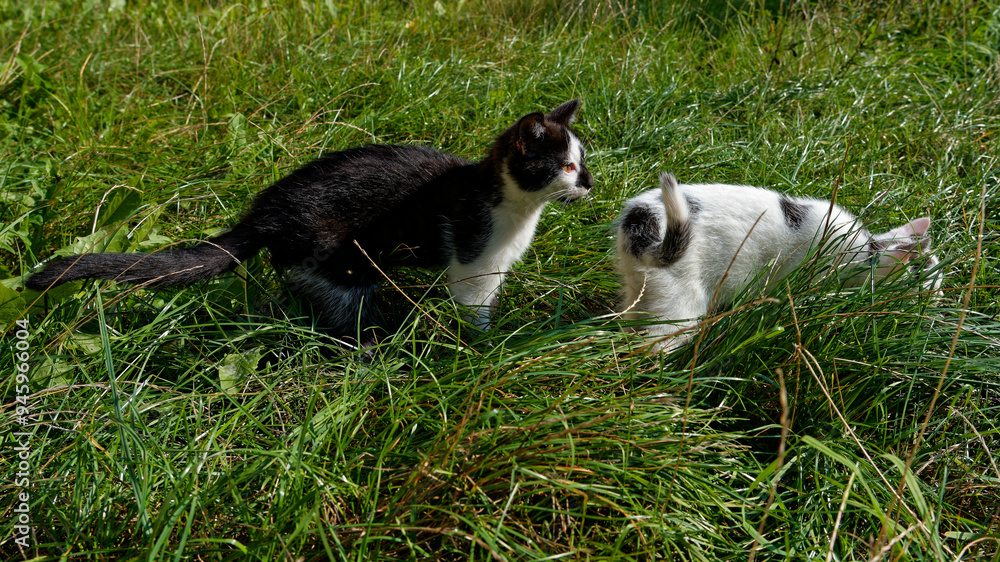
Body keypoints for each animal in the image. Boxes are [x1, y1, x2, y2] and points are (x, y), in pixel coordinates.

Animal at [27, 98, 592, 340]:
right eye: (564, 166)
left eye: (583, 161)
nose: (589, 183)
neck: (517, 210)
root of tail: (263, 213)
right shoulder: (474, 257)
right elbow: (474, 308)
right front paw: (484, 347)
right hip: (338, 264)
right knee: (339, 310)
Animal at [612, 173, 940, 350]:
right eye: (927, 285)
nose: (938, 302)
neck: (861, 252)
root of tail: (640, 220)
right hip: (679, 308)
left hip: (641, 293)